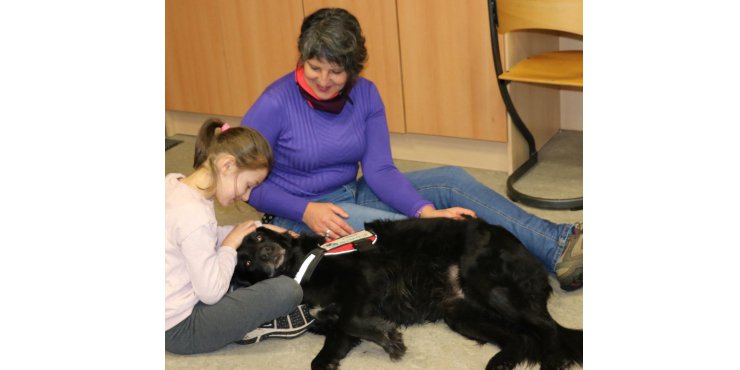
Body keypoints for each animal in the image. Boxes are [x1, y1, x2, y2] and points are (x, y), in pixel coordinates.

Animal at [234, 217, 580, 370]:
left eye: (260, 236)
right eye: (246, 261)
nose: (266, 252)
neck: (304, 268)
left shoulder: (364, 281)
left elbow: (350, 320)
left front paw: (390, 341)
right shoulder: (336, 324)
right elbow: (326, 353)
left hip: (487, 284)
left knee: (548, 329)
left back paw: (551, 363)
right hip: (461, 313)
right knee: (520, 338)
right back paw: (500, 363)